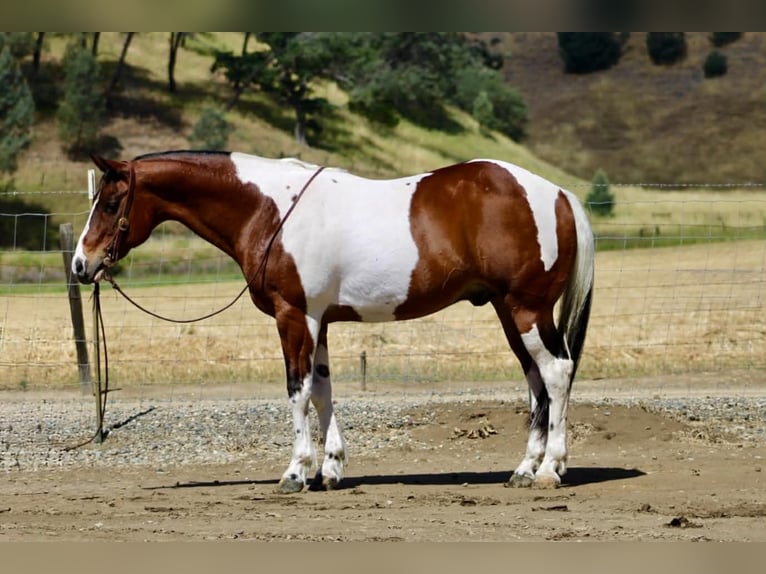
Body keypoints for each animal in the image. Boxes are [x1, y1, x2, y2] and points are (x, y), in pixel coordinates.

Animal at [72, 150, 594, 493]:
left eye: (112, 203)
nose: (81, 264)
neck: (270, 209)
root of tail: (558, 194)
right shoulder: (318, 321)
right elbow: (322, 389)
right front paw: (330, 469)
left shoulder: (294, 316)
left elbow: (297, 390)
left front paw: (296, 471)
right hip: (510, 312)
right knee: (536, 383)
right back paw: (524, 469)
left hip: (526, 309)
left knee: (557, 373)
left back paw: (550, 470)